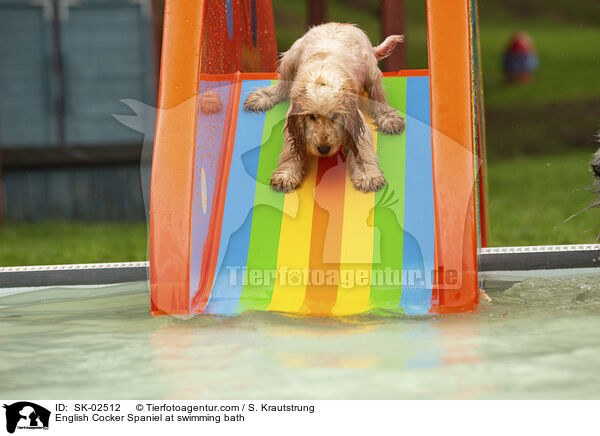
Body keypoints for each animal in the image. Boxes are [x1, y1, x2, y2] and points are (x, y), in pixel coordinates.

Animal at [243, 22, 404, 192]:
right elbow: (290, 148)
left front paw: (368, 176)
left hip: (372, 72)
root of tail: (341, 24)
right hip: (290, 58)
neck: (322, 79)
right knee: (281, 87)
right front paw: (286, 175)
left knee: (378, 97)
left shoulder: (356, 119)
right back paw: (263, 97)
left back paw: (389, 118)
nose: (324, 149)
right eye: (312, 117)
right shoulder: (293, 119)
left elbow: (362, 148)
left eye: (335, 117)